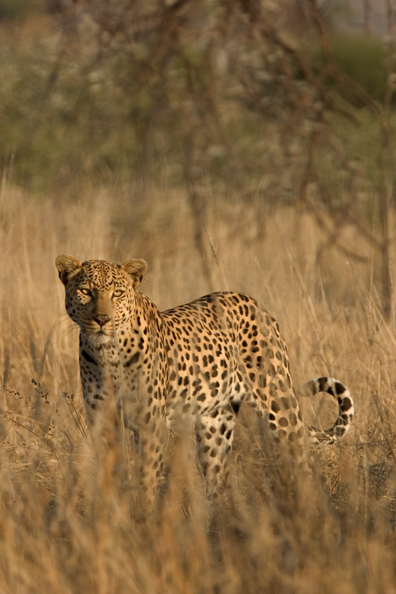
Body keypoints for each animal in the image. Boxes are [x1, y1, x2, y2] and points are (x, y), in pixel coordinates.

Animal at [55, 254, 352, 504]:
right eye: (86, 291)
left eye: (116, 293)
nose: (102, 319)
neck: (107, 353)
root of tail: (256, 303)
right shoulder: (103, 421)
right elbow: (111, 475)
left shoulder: (150, 424)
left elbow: (147, 477)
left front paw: (144, 519)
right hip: (215, 425)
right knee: (217, 480)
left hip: (279, 407)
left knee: (301, 461)